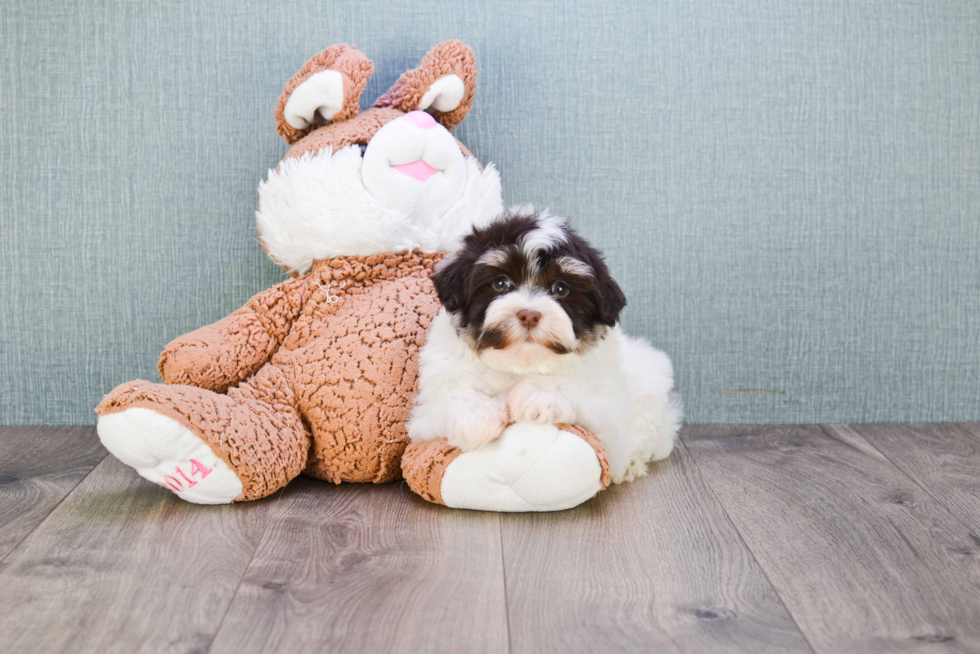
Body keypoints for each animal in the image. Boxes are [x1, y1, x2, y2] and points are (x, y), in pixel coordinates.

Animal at [406, 209, 680, 482]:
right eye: (501, 283)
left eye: (560, 288)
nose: (529, 314)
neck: (521, 364)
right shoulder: (426, 414)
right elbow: (450, 396)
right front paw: (476, 417)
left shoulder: (607, 413)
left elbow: (575, 389)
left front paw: (535, 397)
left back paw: (633, 464)